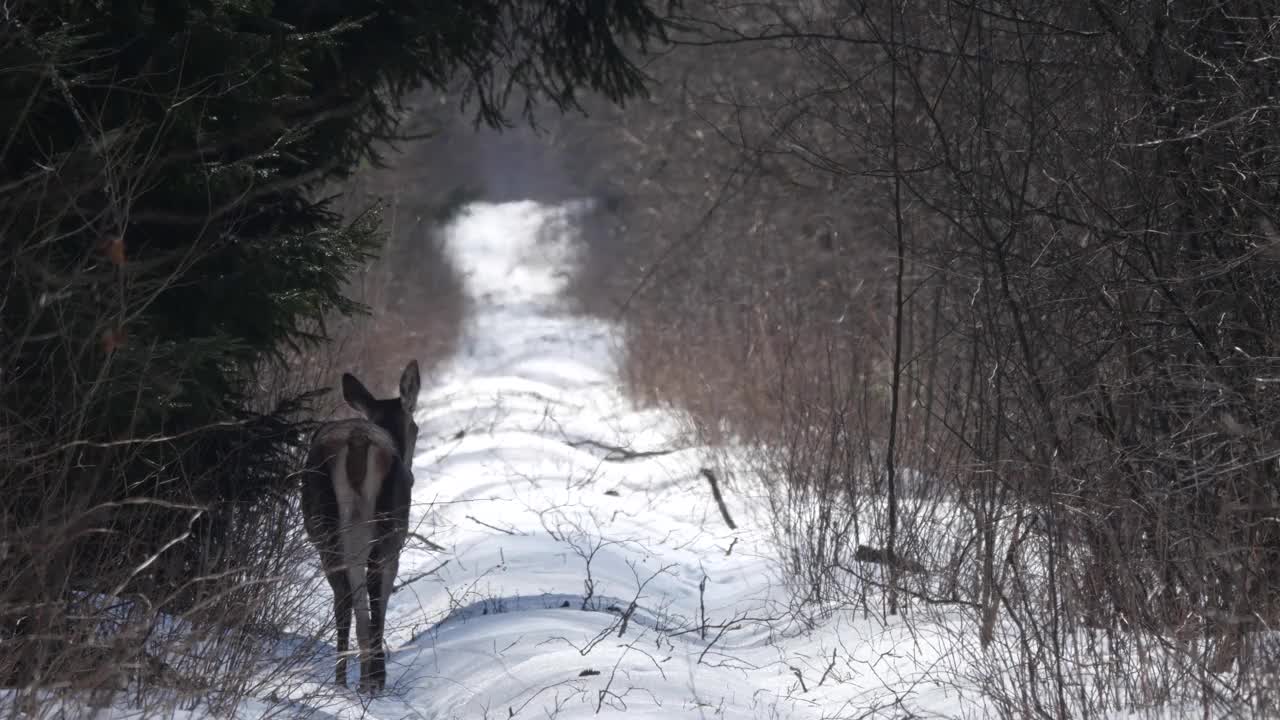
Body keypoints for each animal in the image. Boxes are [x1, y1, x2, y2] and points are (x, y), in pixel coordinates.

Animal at [299, 361, 419, 691]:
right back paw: (371, 676)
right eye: (416, 428)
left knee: (344, 595)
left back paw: (344, 678)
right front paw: (375, 675)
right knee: (367, 590)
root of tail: (357, 443)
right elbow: (381, 597)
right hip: (388, 526)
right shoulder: (396, 546)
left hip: (326, 525)